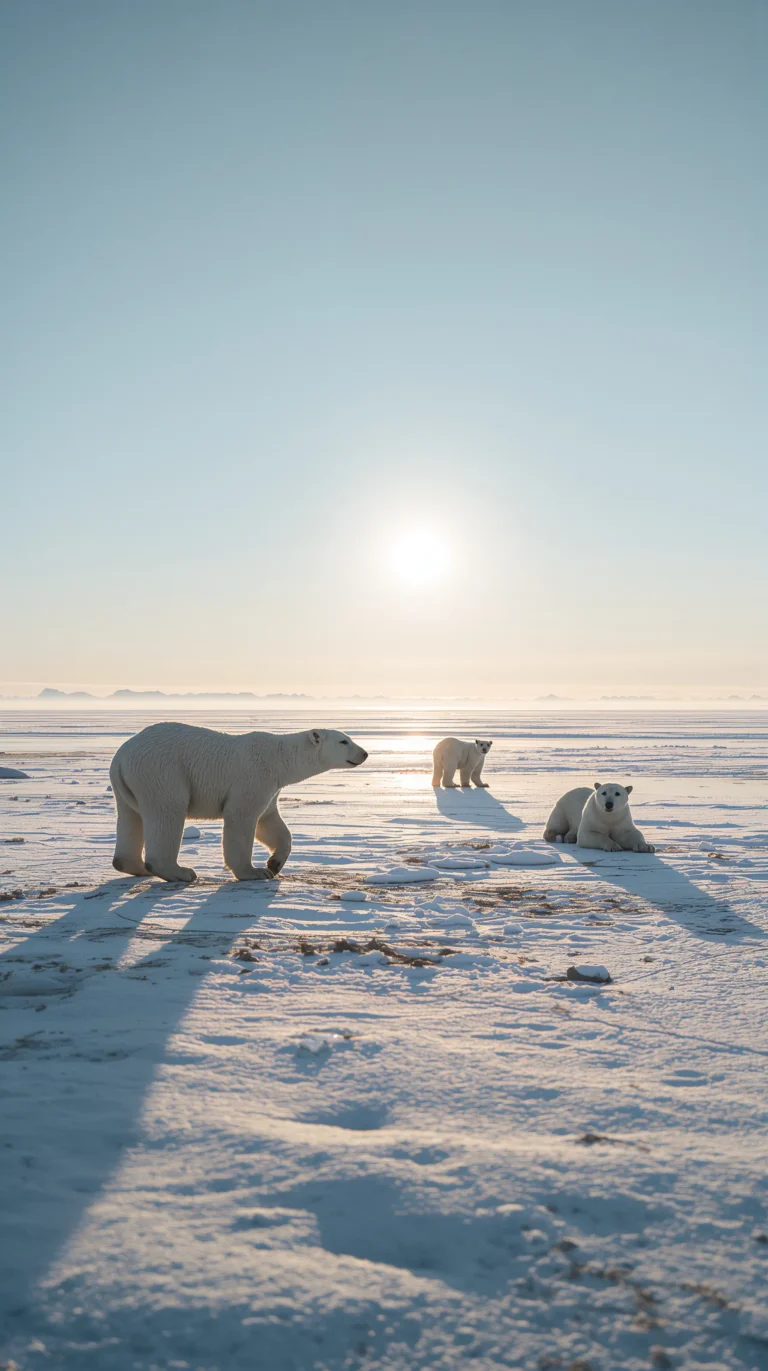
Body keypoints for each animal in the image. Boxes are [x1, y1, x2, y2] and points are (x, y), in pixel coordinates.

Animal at [110, 722, 368, 883]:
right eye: (344, 741)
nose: (364, 753)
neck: (280, 757)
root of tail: (121, 757)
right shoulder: (254, 776)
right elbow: (241, 816)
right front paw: (255, 872)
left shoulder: (271, 787)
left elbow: (270, 822)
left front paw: (274, 864)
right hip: (162, 772)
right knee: (168, 811)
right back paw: (180, 872)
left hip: (127, 785)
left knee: (131, 817)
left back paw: (135, 866)